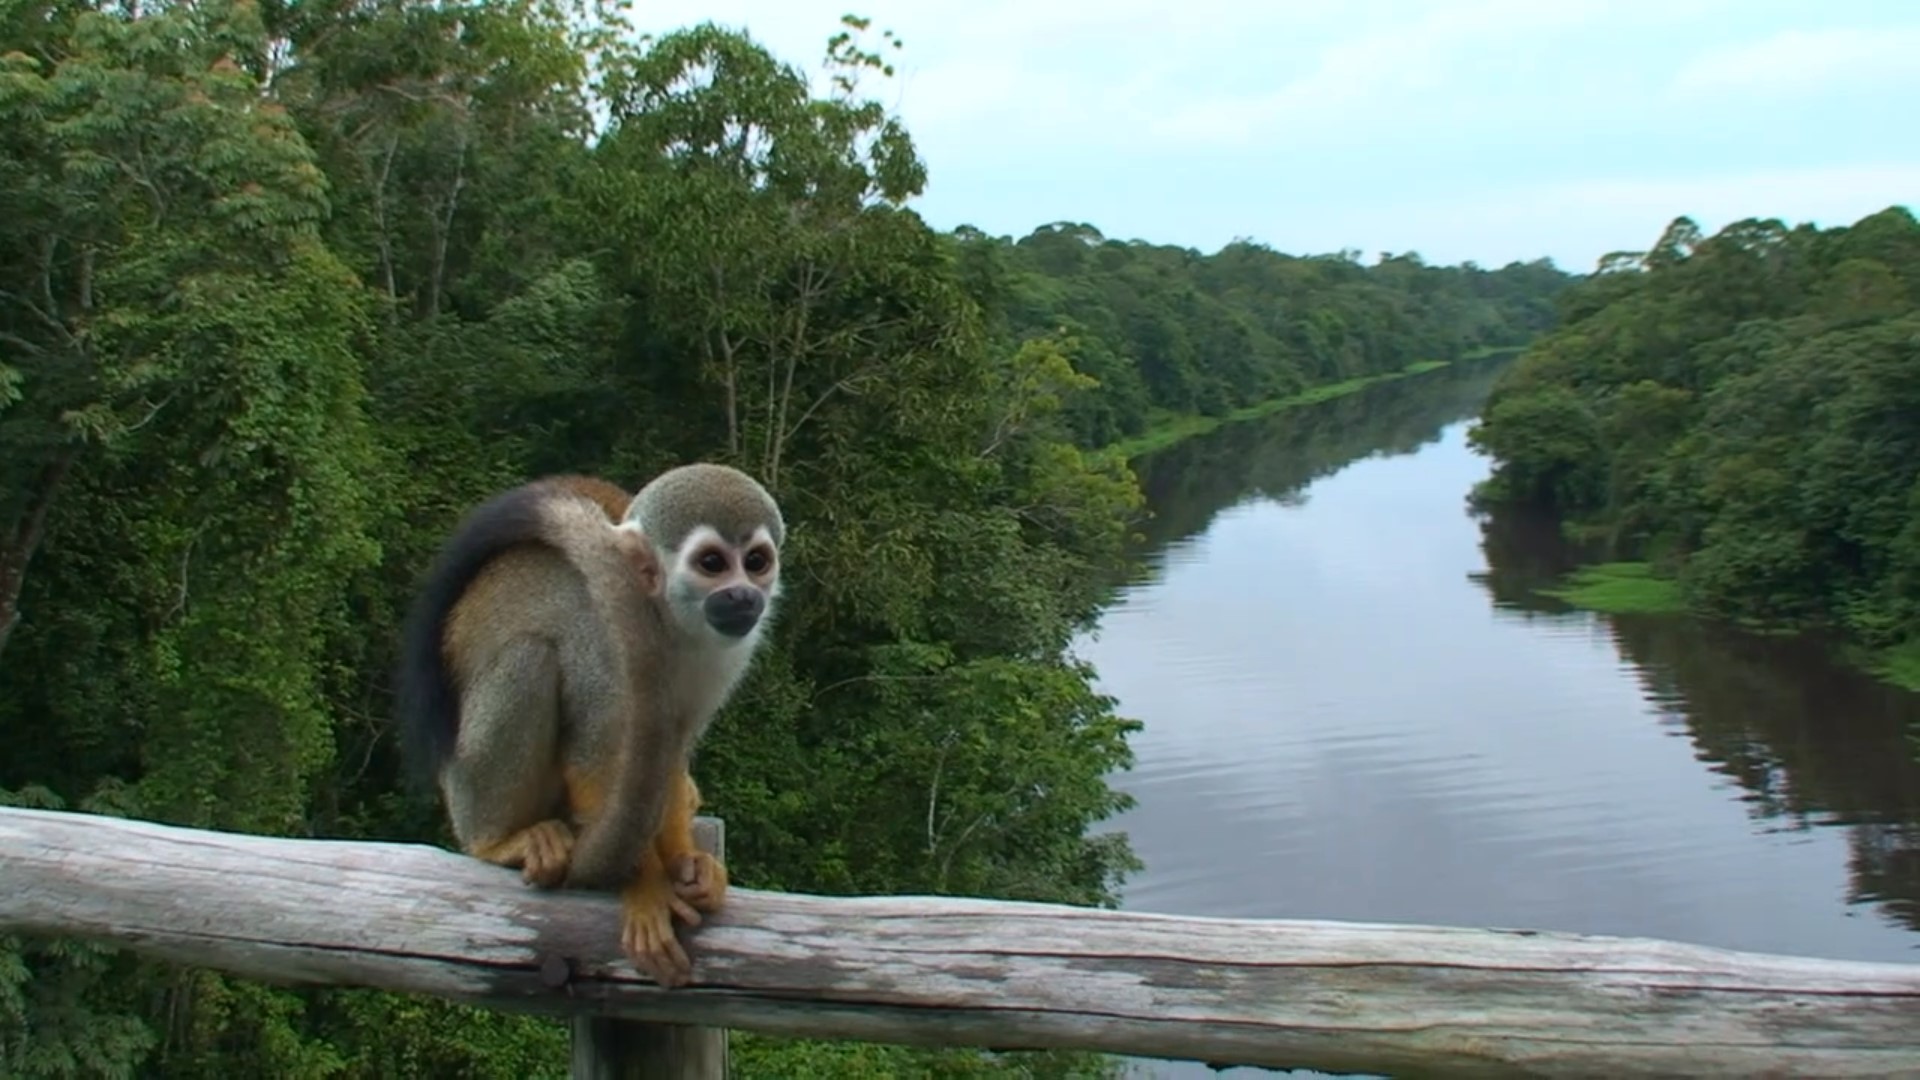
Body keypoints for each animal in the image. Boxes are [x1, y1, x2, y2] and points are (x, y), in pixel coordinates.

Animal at [397, 463, 787, 983]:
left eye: (756, 561)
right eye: (712, 563)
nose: (744, 595)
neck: (666, 620)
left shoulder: (727, 652)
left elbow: (670, 749)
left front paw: (688, 864)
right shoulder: (602, 635)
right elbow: (596, 759)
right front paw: (646, 888)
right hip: (465, 786)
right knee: (530, 658)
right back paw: (497, 842)